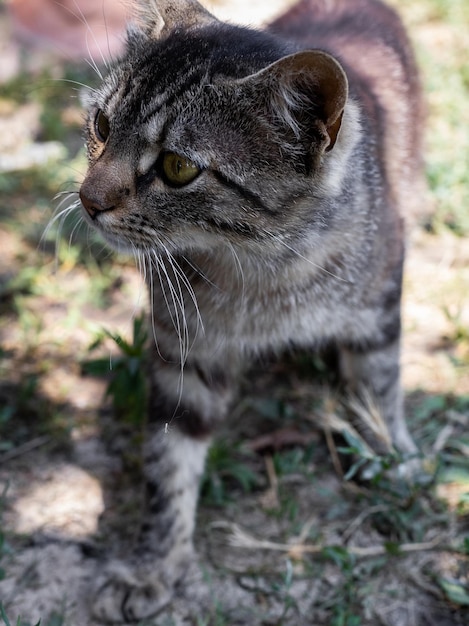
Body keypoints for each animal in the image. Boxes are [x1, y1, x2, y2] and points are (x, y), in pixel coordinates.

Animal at [77, 0, 424, 616]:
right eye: (102, 127)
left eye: (178, 167)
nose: (87, 200)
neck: (261, 274)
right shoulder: (187, 352)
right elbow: (169, 466)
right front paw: (153, 565)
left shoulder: (381, 299)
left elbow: (380, 383)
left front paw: (390, 452)